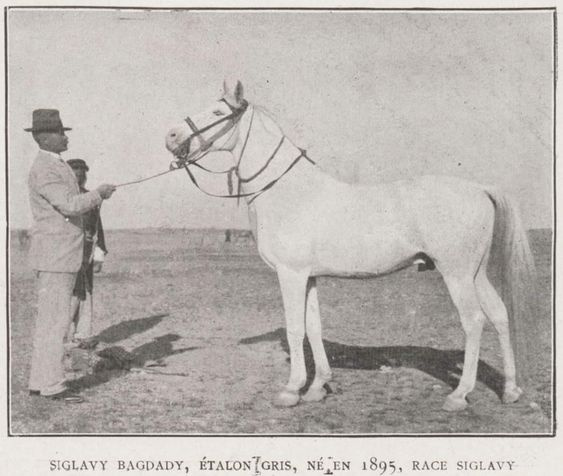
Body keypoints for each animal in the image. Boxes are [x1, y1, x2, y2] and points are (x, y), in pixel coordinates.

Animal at [166, 80, 536, 410]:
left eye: (218, 111)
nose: (171, 136)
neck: (287, 191)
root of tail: (480, 188)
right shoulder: (309, 276)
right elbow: (313, 327)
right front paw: (318, 386)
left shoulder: (291, 274)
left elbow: (295, 328)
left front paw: (291, 390)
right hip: (476, 273)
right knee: (499, 314)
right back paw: (510, 391)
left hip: (456, 273)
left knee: (473, 321)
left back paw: (459, 395)